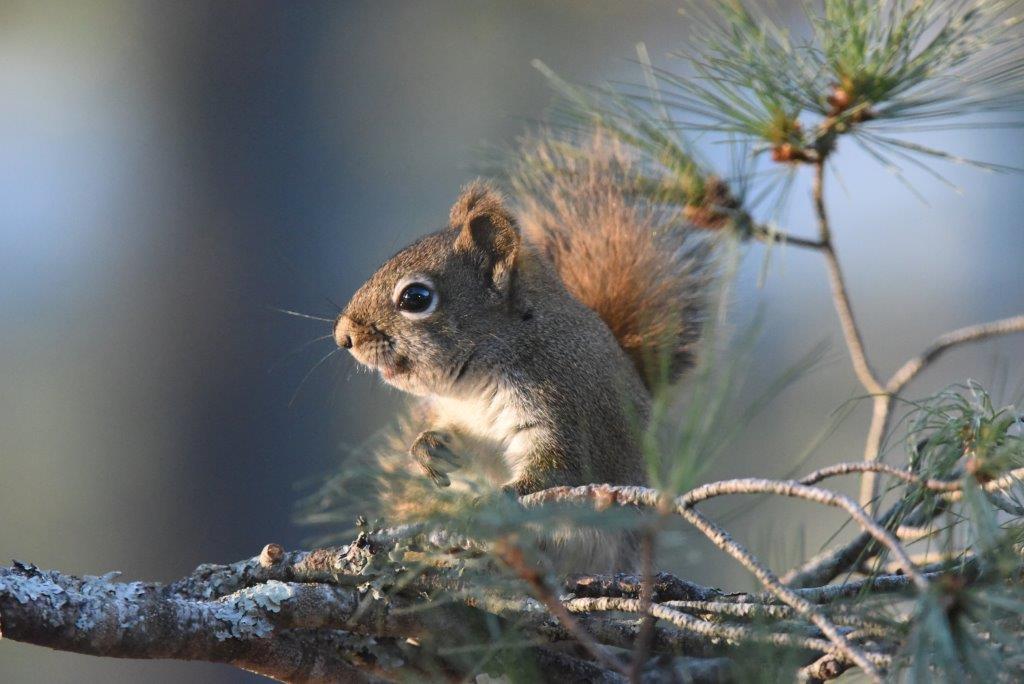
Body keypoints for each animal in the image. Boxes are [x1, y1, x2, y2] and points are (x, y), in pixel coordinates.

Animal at [333, 134, 710, 568]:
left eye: (416, 298)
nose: (342, 337)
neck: (474, 383)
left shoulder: (563, 407)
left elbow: (556, 472)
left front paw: (498, 499)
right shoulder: (465, 422)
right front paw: (428, 447)